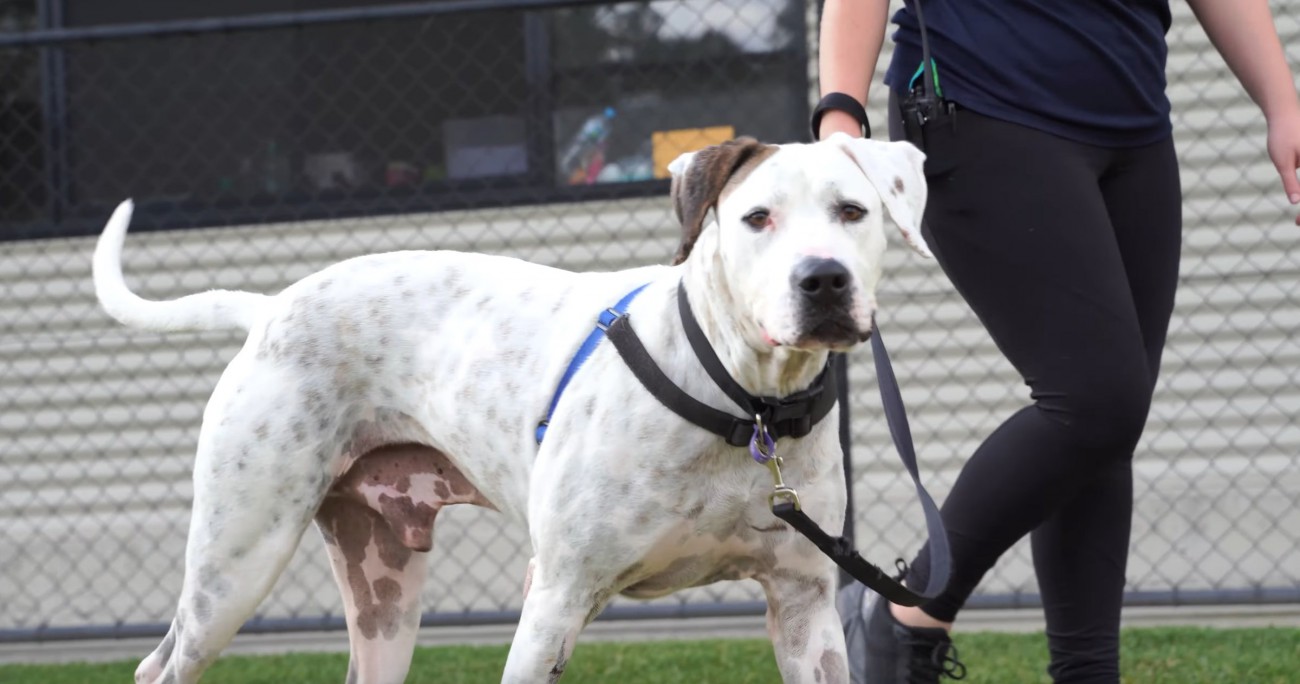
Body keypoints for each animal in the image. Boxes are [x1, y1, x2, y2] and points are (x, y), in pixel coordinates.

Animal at [94, 131, 925, 681]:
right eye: (757, 218)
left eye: (853, 211)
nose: (823, 280)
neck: (743, 401)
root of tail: (270, 307)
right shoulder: (554, 601)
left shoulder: (805, 608)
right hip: (236, 564)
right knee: (160, 667)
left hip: (383, 590)